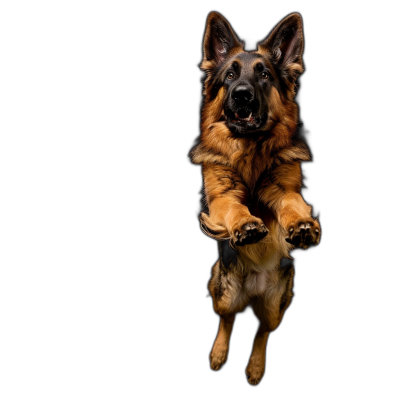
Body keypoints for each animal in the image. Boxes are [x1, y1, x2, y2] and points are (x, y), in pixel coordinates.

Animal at [191, 12, 322, 384]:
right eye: (230, 75)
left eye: (264, 75)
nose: (242, 95)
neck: (250, 148)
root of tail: (252, 293)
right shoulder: (221, 197)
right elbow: (235, 207)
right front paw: (246, 225)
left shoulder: (286, 189)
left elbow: (291, 205)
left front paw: (302, 225)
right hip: (224, 293)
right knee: (228, 319)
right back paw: (219, 353)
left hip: (276, 306)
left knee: (261, 331)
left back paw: (256, 366)